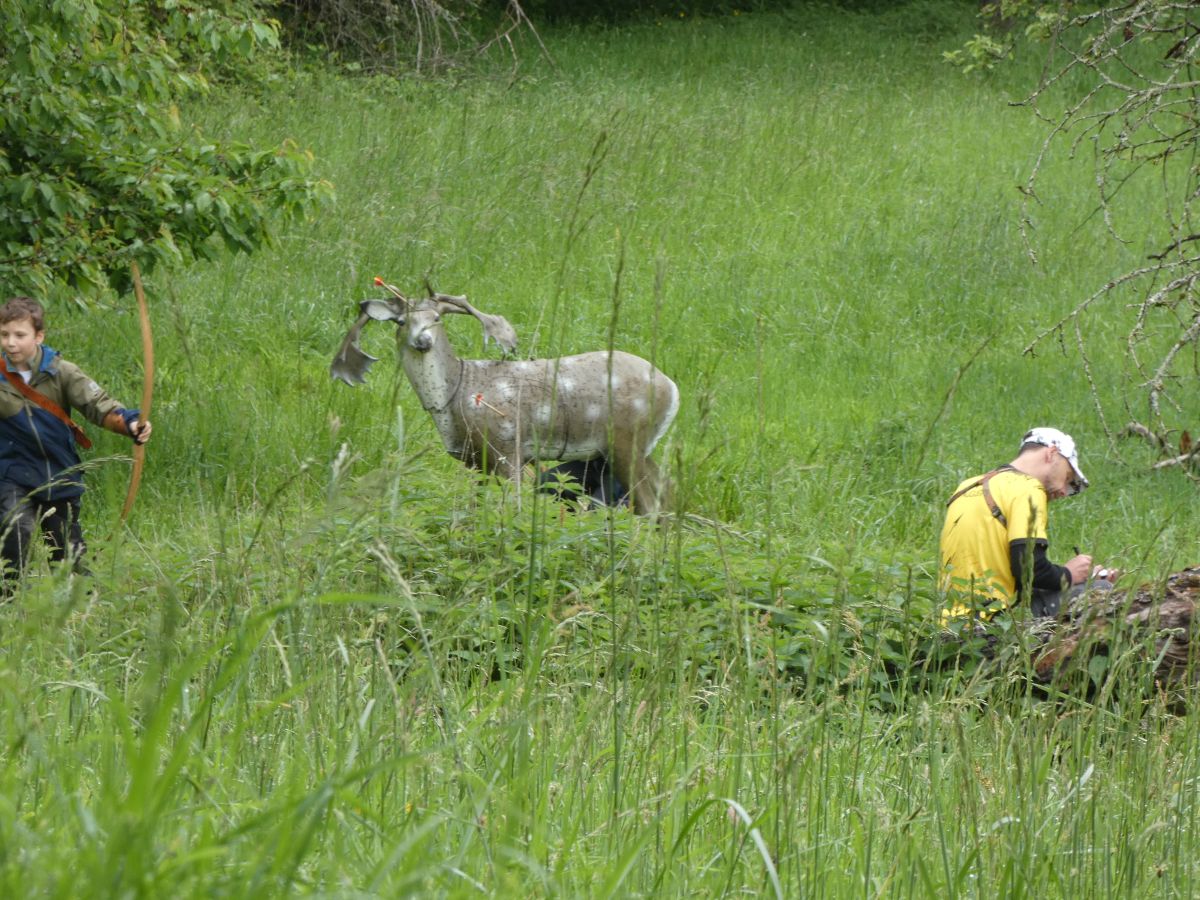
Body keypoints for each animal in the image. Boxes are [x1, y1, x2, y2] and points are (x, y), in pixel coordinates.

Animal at [330, 281, 679, 516]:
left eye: (437, 319)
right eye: (403, 322)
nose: (423, 341)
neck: (456, 395)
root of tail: (673, 389)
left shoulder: (507, 445)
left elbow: (514, 506)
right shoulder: (476, 461)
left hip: (626, 439)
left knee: (649, 505)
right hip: (641, 445)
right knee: (665, 493)